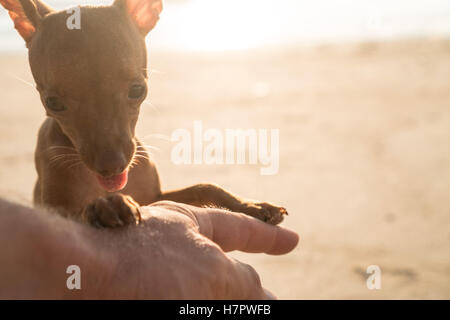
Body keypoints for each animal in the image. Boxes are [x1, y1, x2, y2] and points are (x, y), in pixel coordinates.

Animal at [1, 0, 286, 228]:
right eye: (53, 103)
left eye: (138, 90)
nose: (111, 166)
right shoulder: (55, 211)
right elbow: (78, 211)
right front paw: (103, 206)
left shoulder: (154, 198)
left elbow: (205, 187)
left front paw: (250, 205)